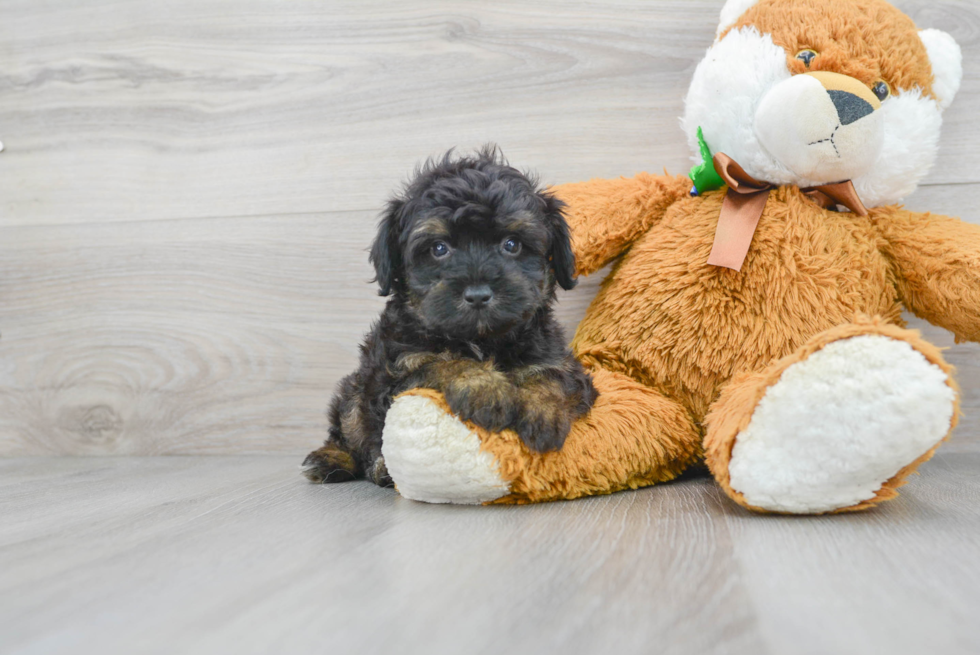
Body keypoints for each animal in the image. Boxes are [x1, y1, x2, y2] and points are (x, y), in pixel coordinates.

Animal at [302, 147, 596, 486]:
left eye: (512, 244)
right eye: (439, 248)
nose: (478, 294)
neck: (482, 340)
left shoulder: (557, 357)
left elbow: (554, 375)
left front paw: (543, 409)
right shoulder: (397, 370)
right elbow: (442, 362)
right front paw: (486, 389)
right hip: (355, 389)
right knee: (349, 427)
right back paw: (339, 460)